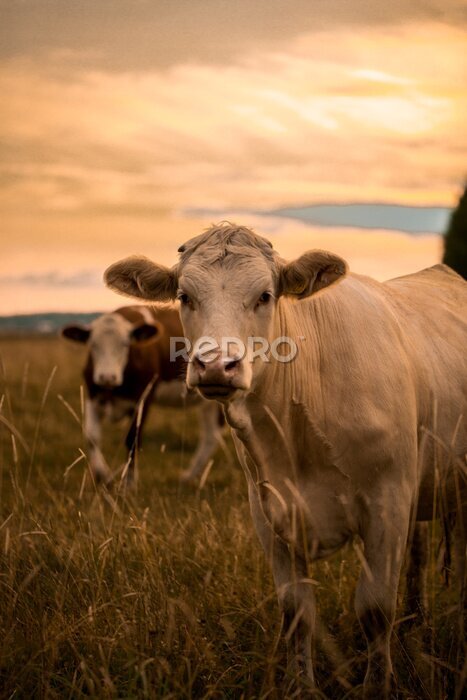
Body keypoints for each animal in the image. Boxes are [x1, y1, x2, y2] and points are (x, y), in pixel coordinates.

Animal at [62, 305, 224, 487]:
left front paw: (129, 483)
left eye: (125, 344)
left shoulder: (144, 399)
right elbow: (92, 436)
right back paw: (188, 476)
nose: (107, 377)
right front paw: (102, 476)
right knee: (210, 436)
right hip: (207, 404)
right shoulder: (92, 396)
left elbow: (132, 439)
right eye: (93, 344)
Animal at [104, 223, 466, 696]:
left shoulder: (387, 502)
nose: (216, 366)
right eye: (184, 296)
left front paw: (377, 686)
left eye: (264, 295)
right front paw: (301, 686)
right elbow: (297, 612)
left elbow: (374, 608)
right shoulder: (270, 511)